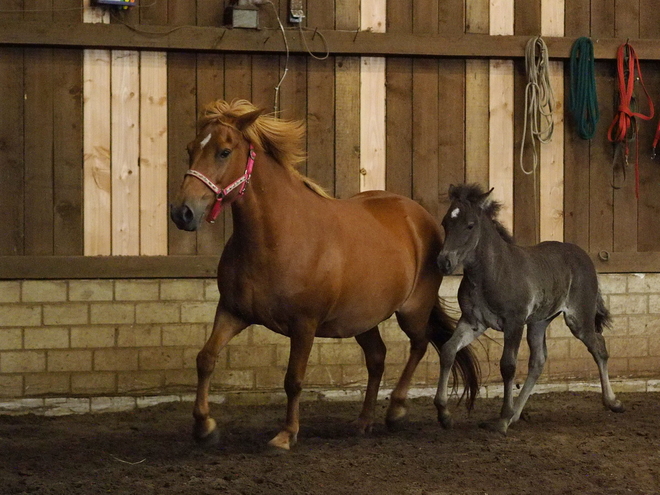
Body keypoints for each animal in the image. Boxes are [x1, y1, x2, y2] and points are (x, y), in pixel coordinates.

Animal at [171, 99, 480, 452]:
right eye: (190, 148)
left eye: (224, 152)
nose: (182, 212)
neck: (277, 237)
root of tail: (419, 216)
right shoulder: (233, 312)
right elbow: (206, 358)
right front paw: (205, 427)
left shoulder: (304, 325)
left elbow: (293, 379)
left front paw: (286, 434)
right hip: (362, 317)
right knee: (377, 357)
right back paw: (363, 421)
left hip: (413, 309)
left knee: (420, 343)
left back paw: (396, 410)